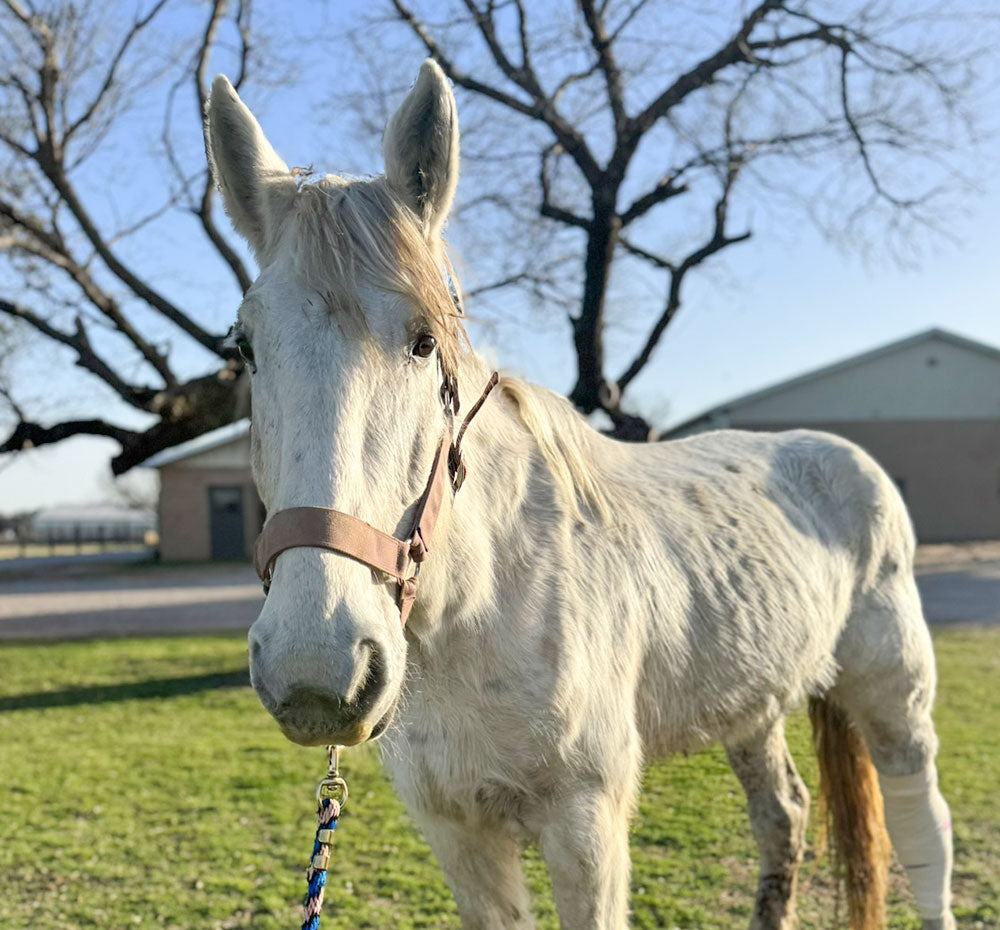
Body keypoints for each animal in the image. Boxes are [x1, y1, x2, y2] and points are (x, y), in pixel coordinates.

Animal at [205, 60, 955, 930]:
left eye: (424, 341)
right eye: (245, 346)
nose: (318, 669)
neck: (482, 606)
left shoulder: (585, 824)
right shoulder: (457, 833)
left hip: (896, 701)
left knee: (923, 829)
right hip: (753, 702)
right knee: (785, 815)